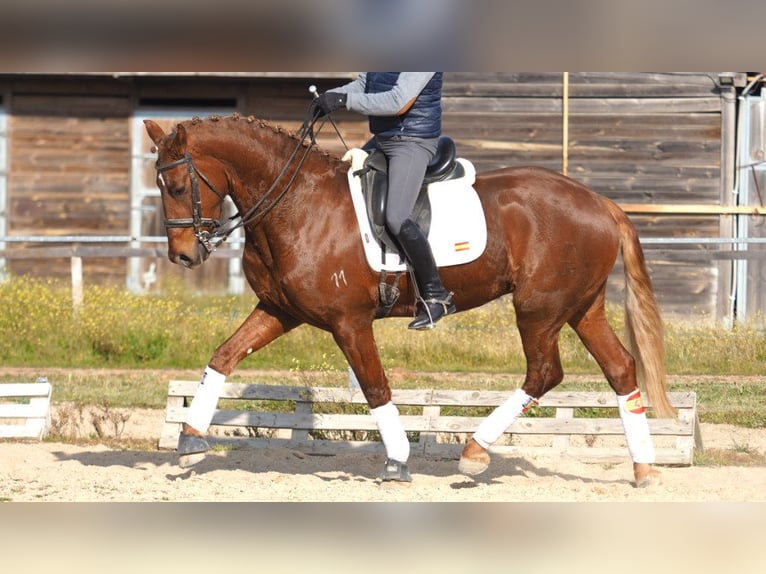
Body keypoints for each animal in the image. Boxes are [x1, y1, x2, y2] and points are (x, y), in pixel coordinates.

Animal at [144, 113, 672, 490]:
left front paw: (397, 461)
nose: (183, 256)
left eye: (177, 186)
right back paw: (643, 469)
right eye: (159, 185)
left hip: (538, 310)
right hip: (581, 307)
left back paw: (474, 452)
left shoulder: (349, 322)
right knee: (621, 369)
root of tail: (599, 202)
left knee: (544, 373)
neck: (296, 203)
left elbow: (376, 388)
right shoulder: (281, 311)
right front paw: (190, 435)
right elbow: (224, 356)